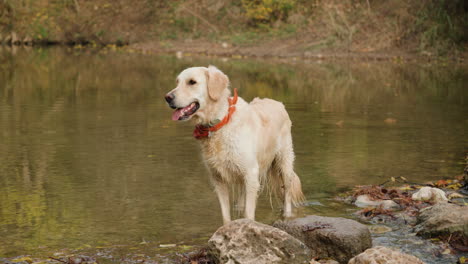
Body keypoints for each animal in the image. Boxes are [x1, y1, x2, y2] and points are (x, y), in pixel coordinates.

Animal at [164, 65, 304, 223]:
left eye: (192, 82)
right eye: (177, 82)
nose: (167, 97)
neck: (220, 123)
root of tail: (279, 103)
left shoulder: (251, 174)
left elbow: (248, 214)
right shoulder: (218, 178)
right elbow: (226, 216)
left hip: (284, 161)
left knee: (287, 192)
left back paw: (287, 215)